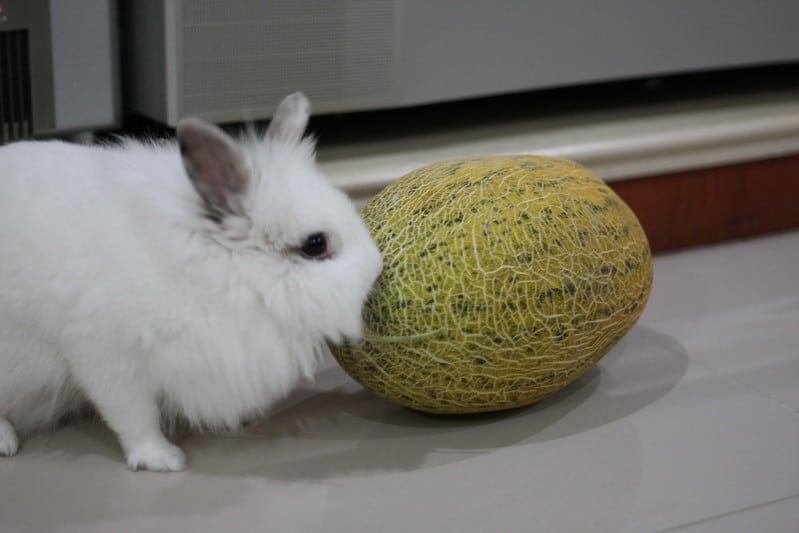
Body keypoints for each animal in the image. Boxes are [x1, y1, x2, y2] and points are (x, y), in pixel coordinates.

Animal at [0, 92, 383, 471]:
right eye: (315, 244)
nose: (377, 268)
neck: (216, 271)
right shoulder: (104, 356)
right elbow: (133, 416)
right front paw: (163, 459)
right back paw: (6, 442)